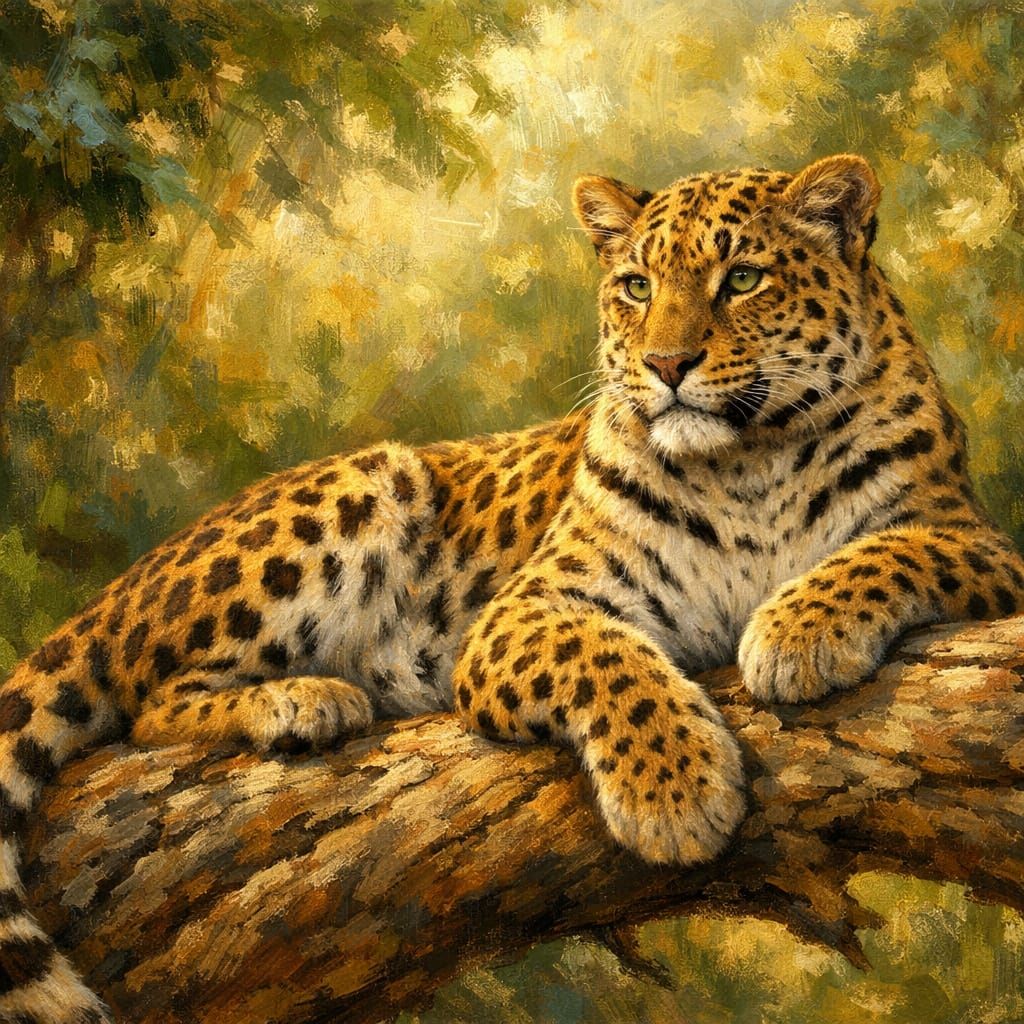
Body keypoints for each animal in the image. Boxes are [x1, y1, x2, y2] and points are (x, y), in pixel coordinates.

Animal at [1, 152, 1023, 1022]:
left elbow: (887, 553)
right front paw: (676, 796)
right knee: (147, 703)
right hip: (364, 483)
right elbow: (609, 658)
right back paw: (300, 700)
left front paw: (795, 632)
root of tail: (123, 587)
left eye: (742, 280)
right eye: (637, 287)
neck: (748, 462)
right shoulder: (530, 610)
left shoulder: (978, 543)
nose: (666, 365)